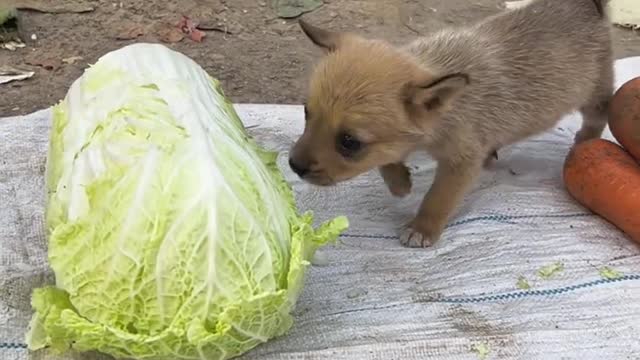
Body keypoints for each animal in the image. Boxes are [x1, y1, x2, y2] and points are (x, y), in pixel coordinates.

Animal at [288, 0, 612, 246]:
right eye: (306, 113)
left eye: (350, 142)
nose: (293, 165)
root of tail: (584, 5)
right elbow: (387, 160)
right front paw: (399, 183)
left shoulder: (461, 162)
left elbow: (438, 197)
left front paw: (421, 228)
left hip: (594, 94)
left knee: (598, 118)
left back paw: (583, 143)